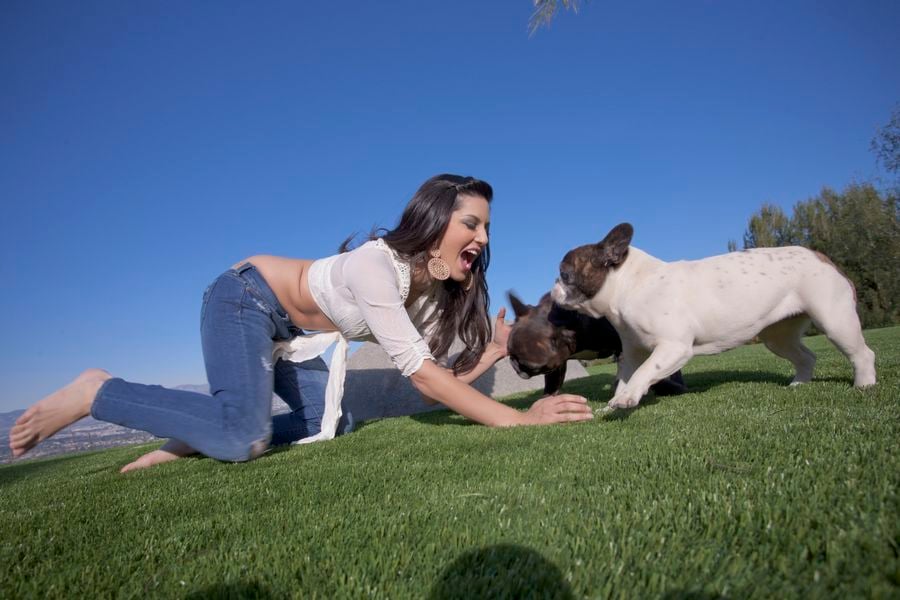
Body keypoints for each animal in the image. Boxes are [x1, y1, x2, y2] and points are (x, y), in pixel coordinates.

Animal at [552, 223, 876, 410]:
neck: (630, 284)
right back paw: (799, 384)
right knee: (806, 357)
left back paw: (864, 384)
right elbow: (626, 376)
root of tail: (820, 257)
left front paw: (626, 398)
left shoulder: (673, 347)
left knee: (862, 353)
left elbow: (645, 371)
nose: (553, 287)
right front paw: (617, 400)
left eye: (565, 274)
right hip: (778, 336)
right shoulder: (632, 353)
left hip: (834, 320)